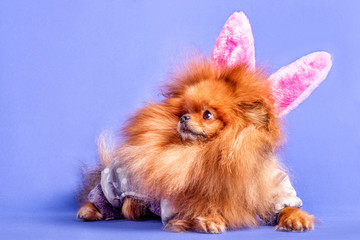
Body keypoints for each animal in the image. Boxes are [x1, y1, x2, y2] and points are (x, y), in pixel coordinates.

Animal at [77, 59, 314, 233]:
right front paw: (209, 219)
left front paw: (297, 218)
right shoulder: (176, 203)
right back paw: (89, 211)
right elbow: (196, 208)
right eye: (184, 111)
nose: (184, 118)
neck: (210, 152)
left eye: (207, 115)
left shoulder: (271, 188)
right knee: (100, 197)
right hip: (114, 182)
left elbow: (285, 206)